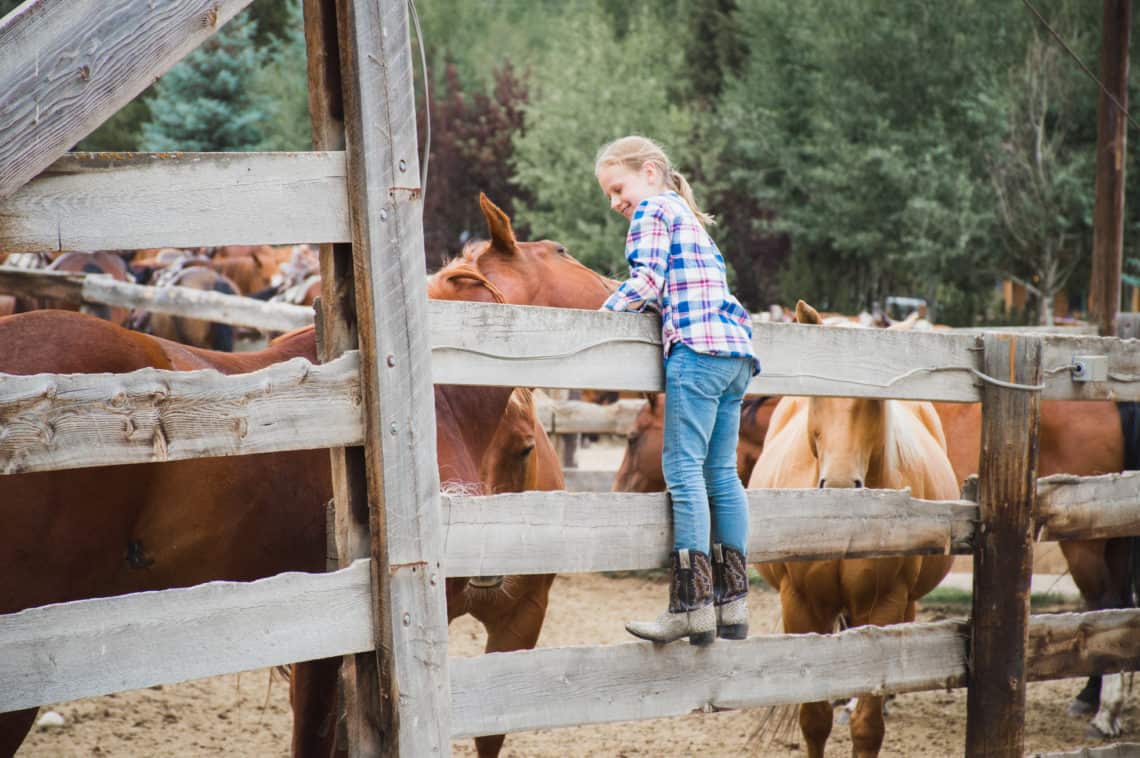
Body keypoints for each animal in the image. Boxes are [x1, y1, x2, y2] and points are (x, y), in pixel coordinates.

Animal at [747, 300, 962, 756]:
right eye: (817, 395)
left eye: (876, 400)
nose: (841, 485)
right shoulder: (802, 605)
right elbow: (813, 720)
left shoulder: (883, 606)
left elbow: (867, 725)